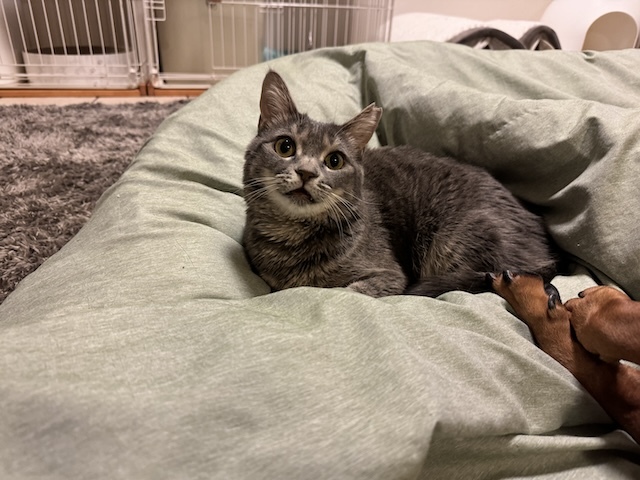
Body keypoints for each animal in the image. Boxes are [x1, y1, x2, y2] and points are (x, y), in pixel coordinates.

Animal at [242, 70, 558, 298]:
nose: (306, 172)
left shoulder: (389, 275)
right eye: (285, 146)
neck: (291, 237)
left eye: (335, 161)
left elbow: (351, 290)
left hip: (455, 239)